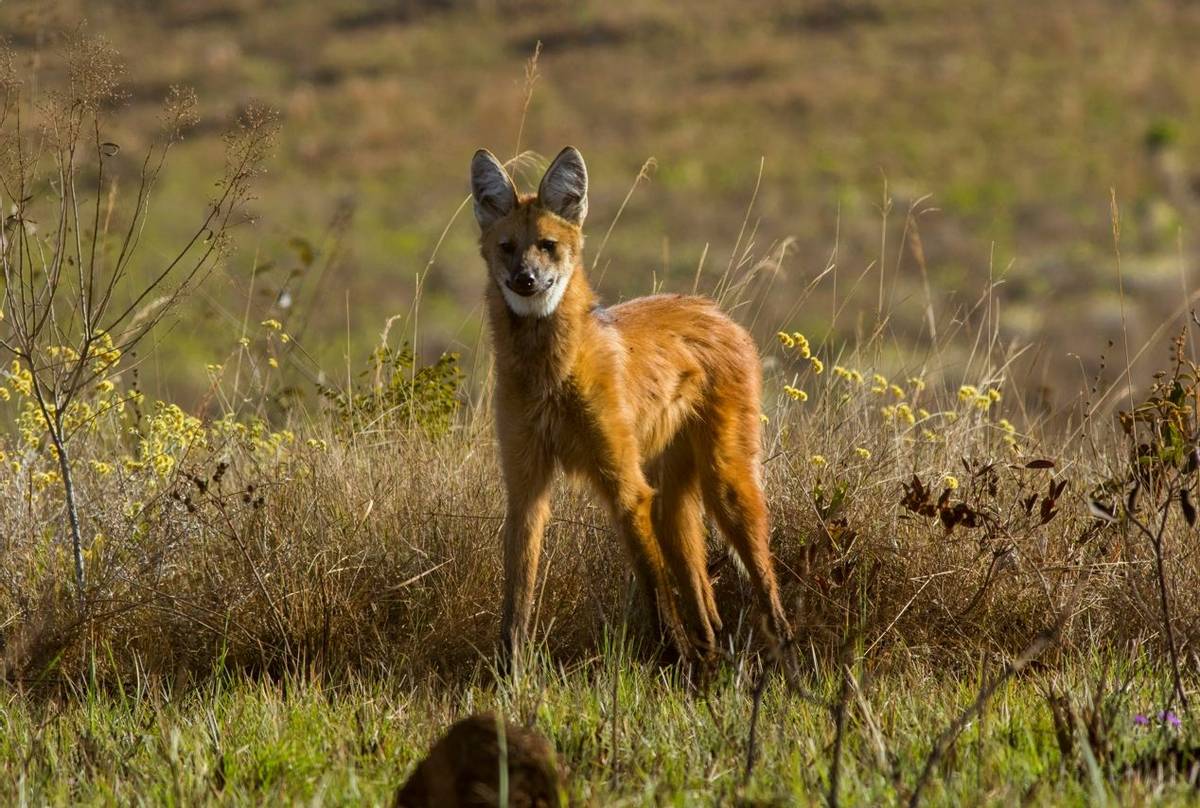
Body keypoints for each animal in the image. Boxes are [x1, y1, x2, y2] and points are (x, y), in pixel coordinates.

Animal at [472, 145, 792, 662]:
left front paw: (674, 659)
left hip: (725, 483)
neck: (549, 375)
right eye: (507, 247)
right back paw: (712, 659)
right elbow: (517, 600)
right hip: (673, 501)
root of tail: (718, 311)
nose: (525, 279)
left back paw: (783, 660)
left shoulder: (628, 490)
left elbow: (657, 597)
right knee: (704, 601)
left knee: (765, 589)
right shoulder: (526, 487)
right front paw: (511, 670)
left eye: (546, 245)